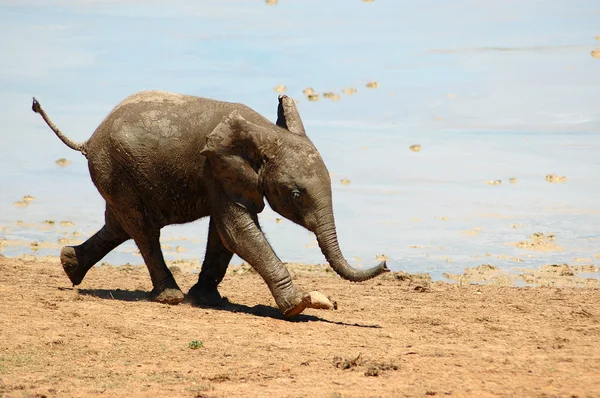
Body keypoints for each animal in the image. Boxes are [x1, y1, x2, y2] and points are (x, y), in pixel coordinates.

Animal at [31, 91, 390, 318]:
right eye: (296, 195)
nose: (386, 263)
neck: (263, 133)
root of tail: (89, 140)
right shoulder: (214, 170)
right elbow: (238, 232)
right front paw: (299, 306)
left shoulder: (226, 177)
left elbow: (223, 235)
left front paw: (208, 300)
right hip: (116, 171)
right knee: (144, 230)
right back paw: (170, 297)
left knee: (120, 225)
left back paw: (69, 265)